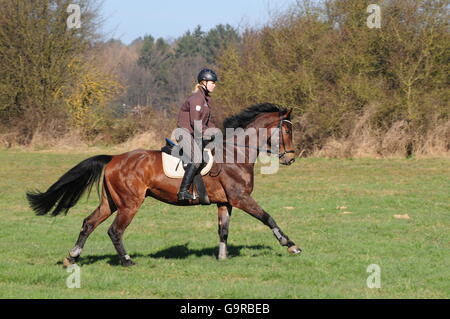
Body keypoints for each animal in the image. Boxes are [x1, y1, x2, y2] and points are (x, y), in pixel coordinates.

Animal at [26, 103, 300, 268]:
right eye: (286, 132)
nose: (291, 159)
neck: (236, 153)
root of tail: (113, 158)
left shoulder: (225, 202)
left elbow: (223, 230)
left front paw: (222, 257)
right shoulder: (241, 198)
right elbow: (268, 217)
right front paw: (290, 245)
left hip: (111, 202)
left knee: (89, 223)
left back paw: (72, 257)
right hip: (130, 204)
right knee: (115, 230)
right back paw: (127, 260)